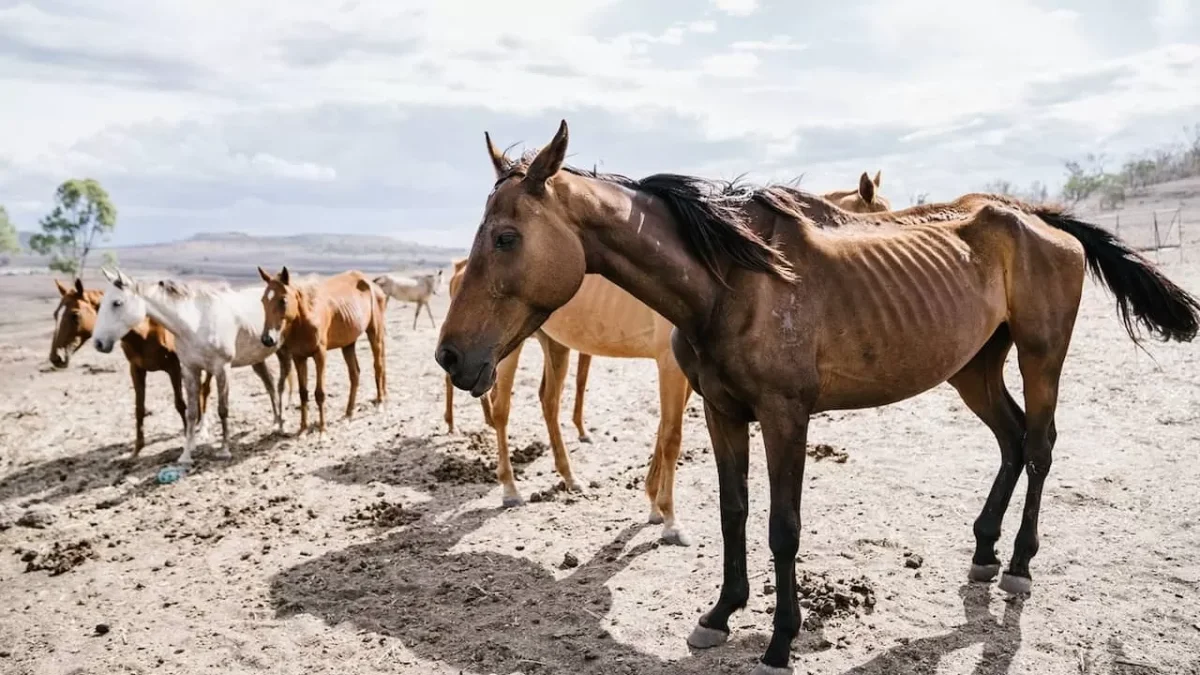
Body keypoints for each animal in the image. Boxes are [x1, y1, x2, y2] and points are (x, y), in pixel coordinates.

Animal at [92, 266, 291, 461]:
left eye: (117, 303)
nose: (98, 343)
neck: (196, 323)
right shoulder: (189, 370)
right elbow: (191, 412)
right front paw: (186, 454)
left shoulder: (221, 369)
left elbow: (223, 409)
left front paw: (224, 450)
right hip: (257, 359)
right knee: (270, 384)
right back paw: (275, 423)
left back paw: (279, 425)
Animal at [258, 266, 388, 429]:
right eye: (263, 300)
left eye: (283, 300)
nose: (267, 339)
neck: (304, 321)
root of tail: (371, 283)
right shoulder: (298, 357)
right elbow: (303, 393)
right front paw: (303, 429)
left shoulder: (320, 355)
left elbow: (319, 393)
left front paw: (322, 430)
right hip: (348, 343)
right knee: (355, 374)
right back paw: (348, 414)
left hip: (374, 333)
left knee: (378, 366)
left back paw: (380, 403)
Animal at [434, 120, 1200, 672]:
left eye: (506, 236)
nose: (451, 356)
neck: (734, 282)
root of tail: (1041, 219)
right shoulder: (722, 411)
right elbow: (734, 513)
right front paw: (720, 615)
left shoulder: (785, 416)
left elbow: (783, 526)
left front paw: (780, 640)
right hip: (974, 367)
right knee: (1012, 440)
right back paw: (983, 553)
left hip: (1042, 358)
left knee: (1039, 446)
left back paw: (1016, 565)